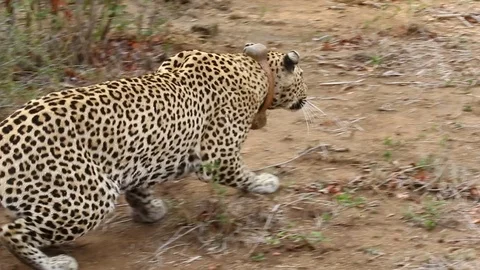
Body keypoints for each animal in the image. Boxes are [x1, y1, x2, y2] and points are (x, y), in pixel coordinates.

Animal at [0, 43, 308, 268]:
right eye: (303, 78)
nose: (307, 96)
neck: (256, 71)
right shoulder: (218, 156)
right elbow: (242, 174)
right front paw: (265, 182)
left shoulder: (143, 158)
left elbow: (139, 187)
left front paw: (151, 210)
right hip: (89, 197)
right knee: (11, 233)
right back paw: (54, 263)